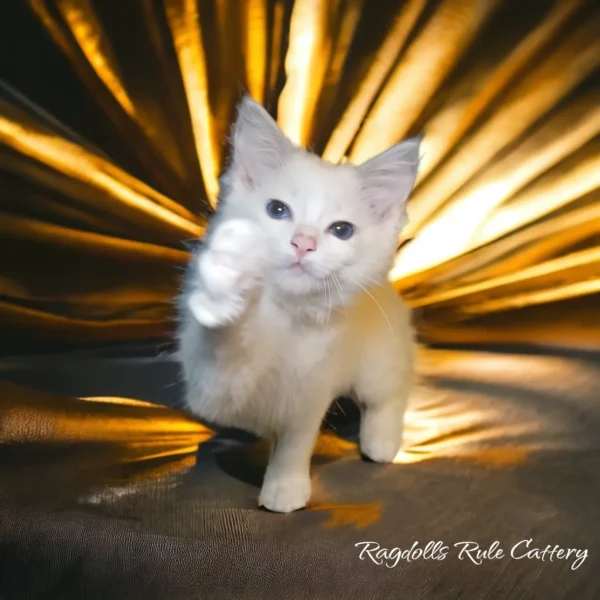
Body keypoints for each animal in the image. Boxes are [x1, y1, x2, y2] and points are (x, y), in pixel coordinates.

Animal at [178, 96, 420, 512]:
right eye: (278, 210)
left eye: (341, 230)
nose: (303, 243)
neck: (287, 318)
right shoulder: (211, 391)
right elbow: (225, 356)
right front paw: (227, 284)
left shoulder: (313, 388)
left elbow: (296, 442)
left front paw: (285, 487)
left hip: (380, 362)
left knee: (391, 391)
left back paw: (381, 441)